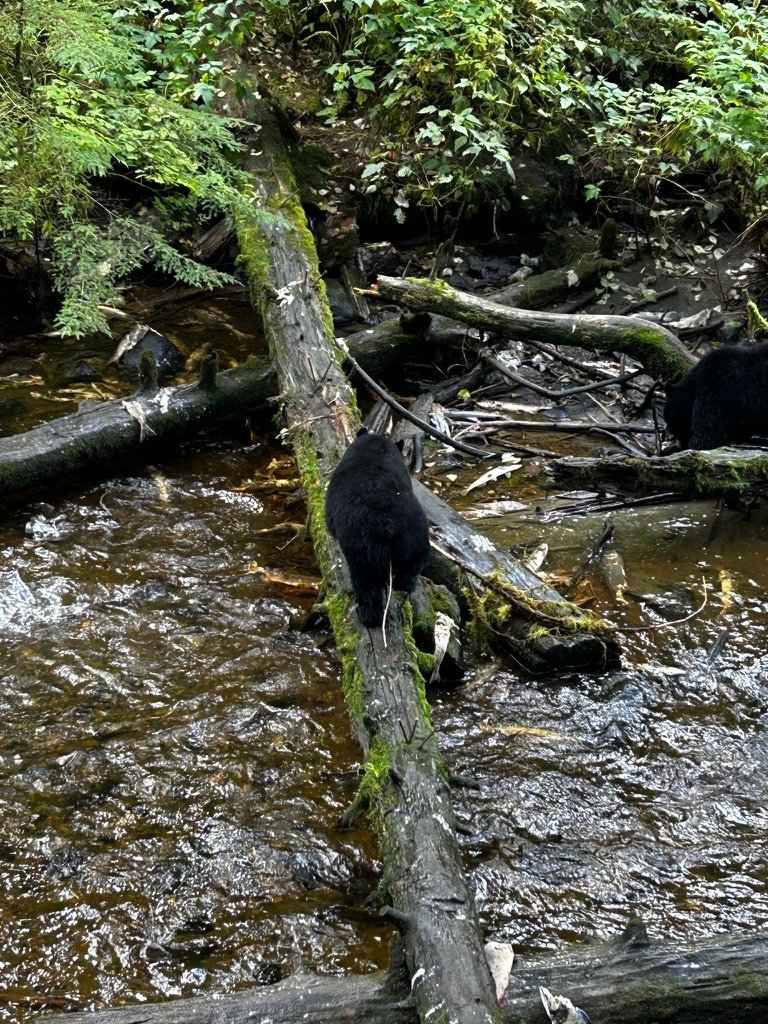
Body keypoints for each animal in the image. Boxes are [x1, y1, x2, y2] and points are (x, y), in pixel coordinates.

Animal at [325, 428, 430, 628]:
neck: (377, 450)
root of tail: (387, 525)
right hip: (415, 541)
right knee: (407, 578)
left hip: (364, 548)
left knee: (366, 582)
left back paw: (368, 616)